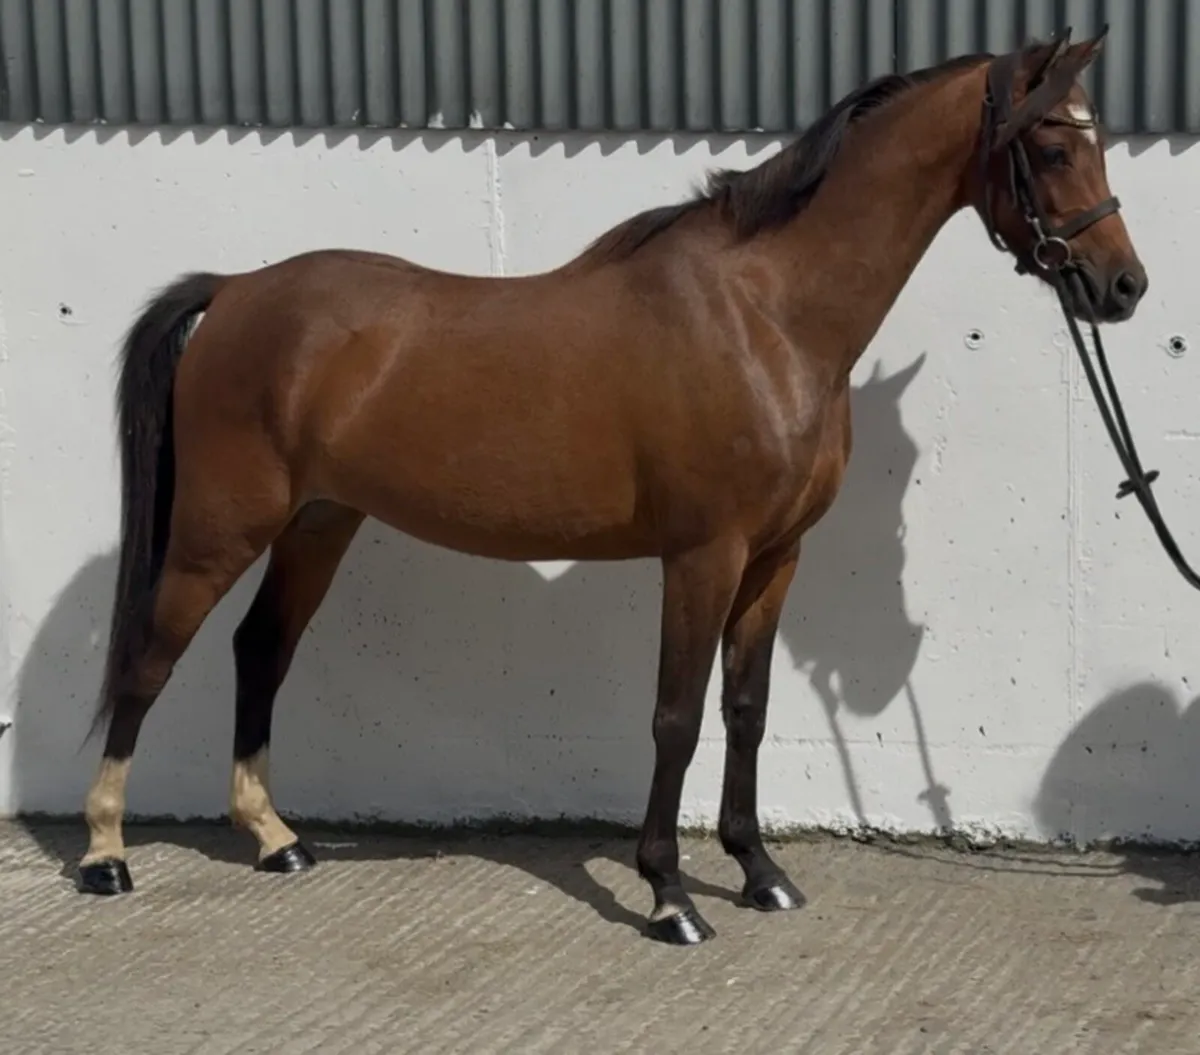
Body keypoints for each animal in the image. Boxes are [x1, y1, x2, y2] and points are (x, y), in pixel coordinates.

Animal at [76, 27, 1145, 946]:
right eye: (1054, 145)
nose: (1123, 286)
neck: (766, 315)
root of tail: (236, 291)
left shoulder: (775, 557)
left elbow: (746, 708)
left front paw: (760, 872)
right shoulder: (703, 554)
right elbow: (675, 718)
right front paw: (670, 894)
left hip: (319, 523)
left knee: (261, 649)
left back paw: (275, 839)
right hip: (221, 527)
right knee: (150, 660)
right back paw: (104, 852)